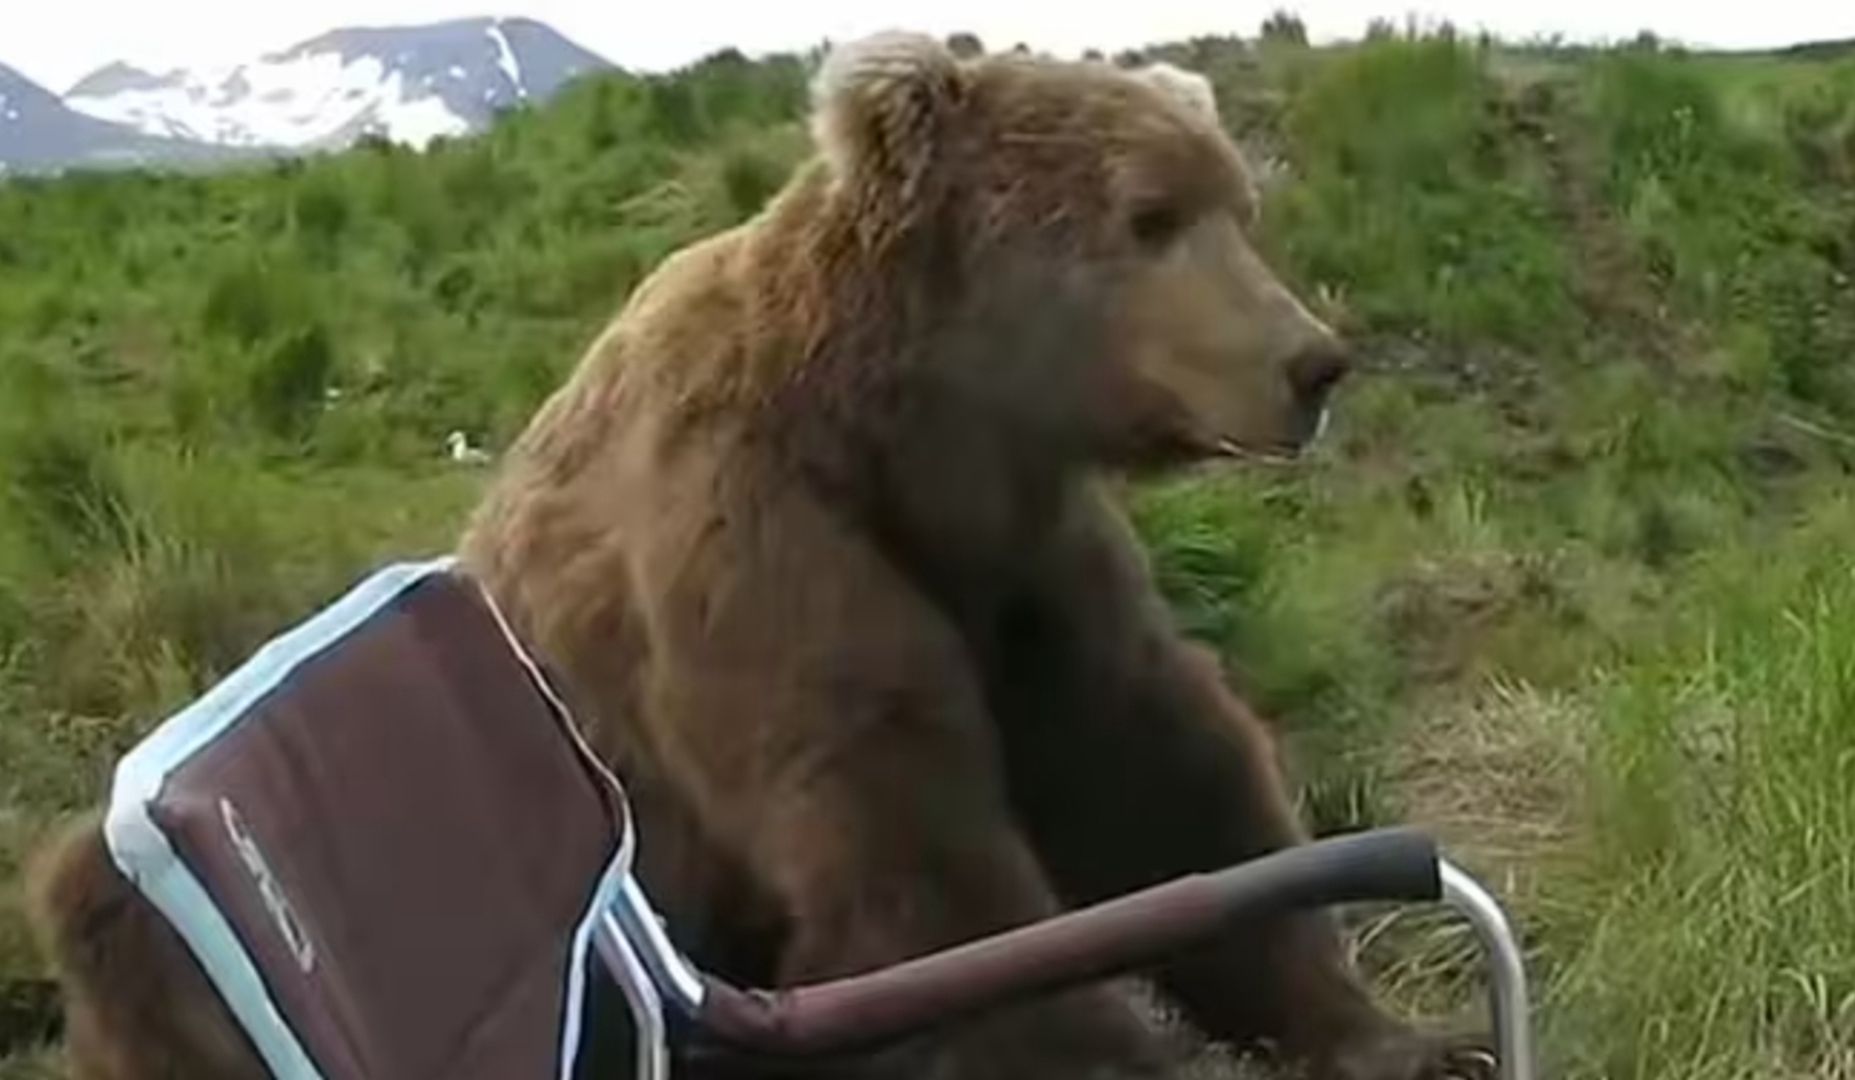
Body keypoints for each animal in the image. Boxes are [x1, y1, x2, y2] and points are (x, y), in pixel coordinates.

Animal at [24, 32, 1495, 1080]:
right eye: (1146, 216)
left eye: (1234, 204)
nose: (1310, 362)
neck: (909, 438)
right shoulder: (759, 549)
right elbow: (911, 856)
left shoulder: (1022, 571)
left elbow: (1160, 774)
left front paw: (1384, 1032)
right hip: (155, 929)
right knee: (103, 906)